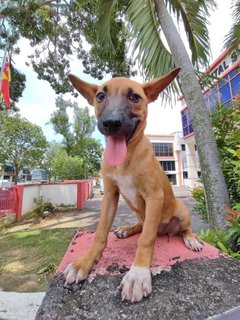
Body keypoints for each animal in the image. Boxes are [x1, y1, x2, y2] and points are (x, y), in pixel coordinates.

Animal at [63, 68, 202, 302]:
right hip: (138, 212)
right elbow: (100, 233)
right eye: (100, 96)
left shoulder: (154, 196)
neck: (126, 158)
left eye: (135, 97)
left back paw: (190, 239)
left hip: (181, 211)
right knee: (142, 224)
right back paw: (127, 229)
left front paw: (138, 274)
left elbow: (146, 239)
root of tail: (165, 231)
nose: (111, 123)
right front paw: (85, 263)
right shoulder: (110, 195)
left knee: (182, 229)